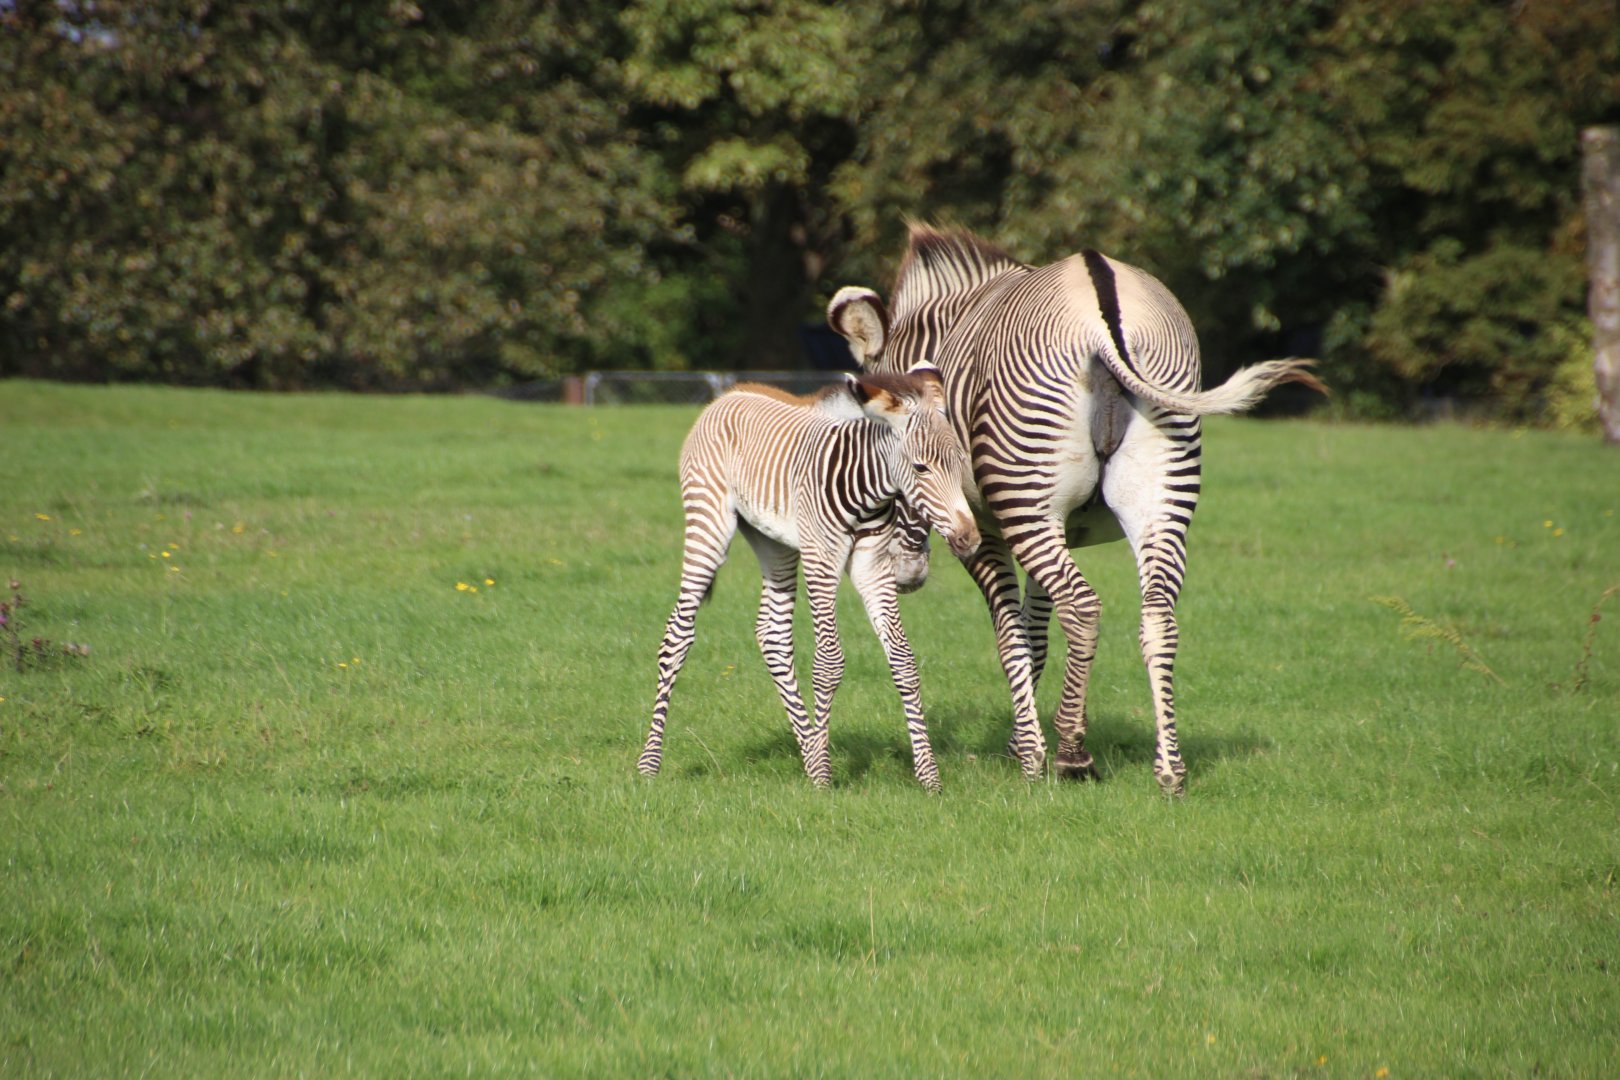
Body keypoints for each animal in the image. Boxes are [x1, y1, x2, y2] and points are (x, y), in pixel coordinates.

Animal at [639, 366, 980, 791]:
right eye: (921, 468)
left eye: (961, 463)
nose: (969, 539)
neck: (865, 489)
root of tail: (730, 394)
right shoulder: (822, 559)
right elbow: (828, 662)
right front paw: (824, 777)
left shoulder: (873, 565)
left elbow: (902, 659)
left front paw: (928, 775)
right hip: (709, 522)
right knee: (678, 633)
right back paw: (649, 764)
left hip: (774, 542)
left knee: (772, 635)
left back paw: (808, 750)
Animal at [827, 224, 1324, 795]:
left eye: (895, 454)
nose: (906, 576)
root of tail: (1102, 306)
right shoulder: (1061, 524)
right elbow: (1037, 630)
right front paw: (1023, 740)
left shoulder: (989, 532)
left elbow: (1011, 634)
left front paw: (1029, 754)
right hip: (1160, 493)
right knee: (1157, 616)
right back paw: (1169, 769)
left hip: (1026, 500)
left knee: (1084, 606)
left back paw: (1071, 754)